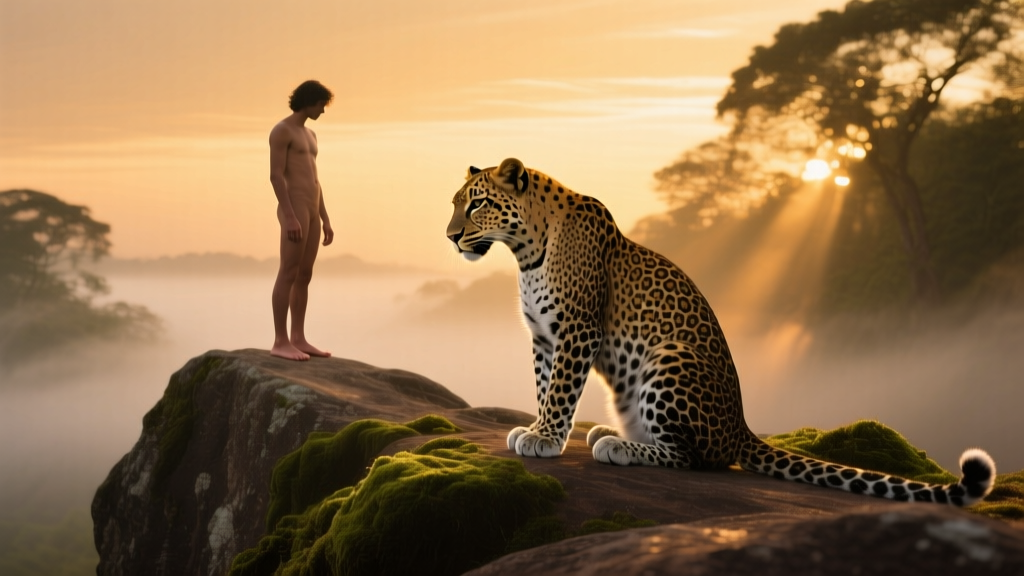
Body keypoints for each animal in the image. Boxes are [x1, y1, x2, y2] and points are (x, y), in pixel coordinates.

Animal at [445, 158, 996, 506]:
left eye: (476, 205)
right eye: (455, 204)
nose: (451, 237)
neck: (525, 250)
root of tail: (741, 427)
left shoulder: (577, 329)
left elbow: (560, 390)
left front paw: (544, 437)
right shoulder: (544, 337)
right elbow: (545, 387)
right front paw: (538, 430)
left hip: (669, 358)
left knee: (696, 458)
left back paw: (619, 446)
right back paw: (611, 432)